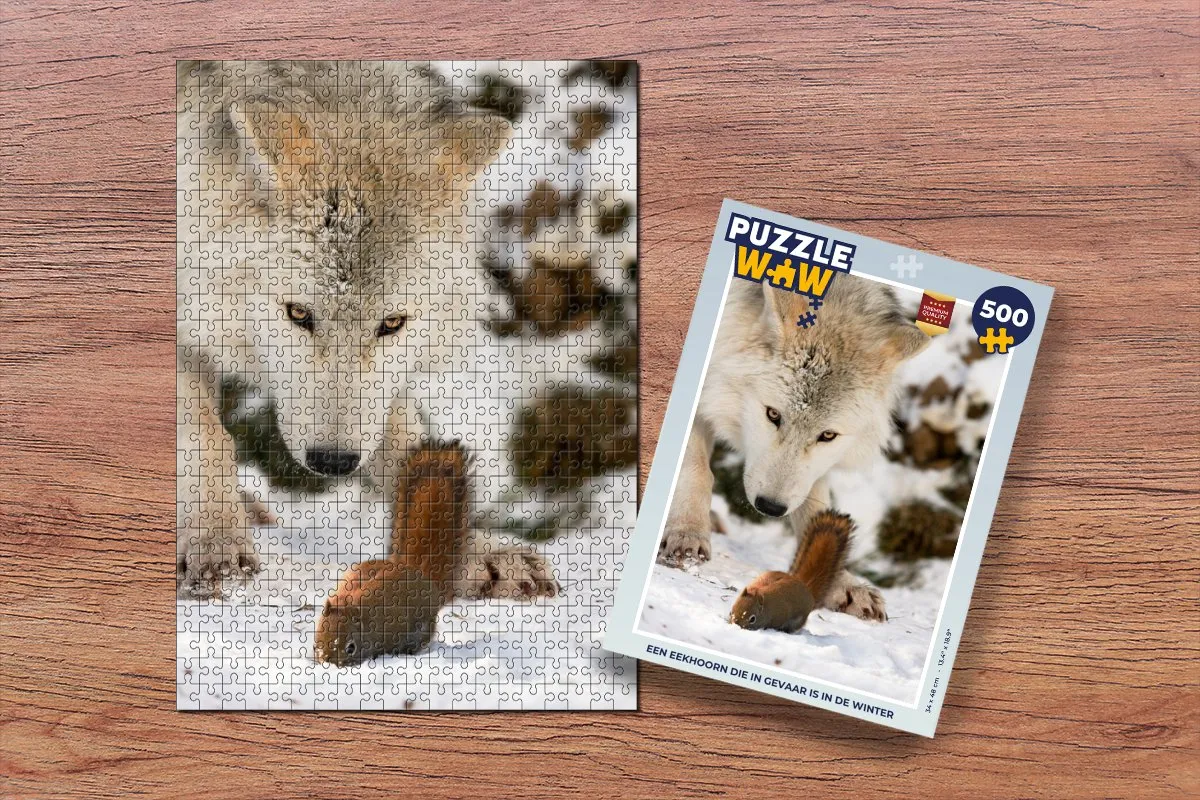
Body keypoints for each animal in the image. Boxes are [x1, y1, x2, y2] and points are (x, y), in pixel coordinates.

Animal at [176, 61, 556, 600]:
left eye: (391, 324)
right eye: (298, 313)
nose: (333, 462)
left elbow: (406, 448)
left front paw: (473, 550)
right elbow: (206, 433)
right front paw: (217, 543)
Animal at [660, 273, 930, 620]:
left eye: (827, 435)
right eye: (773, 415)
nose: (771, 507)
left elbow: (816, 507)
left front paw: (840, 581)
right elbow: (695, 470)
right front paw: (687, 534)